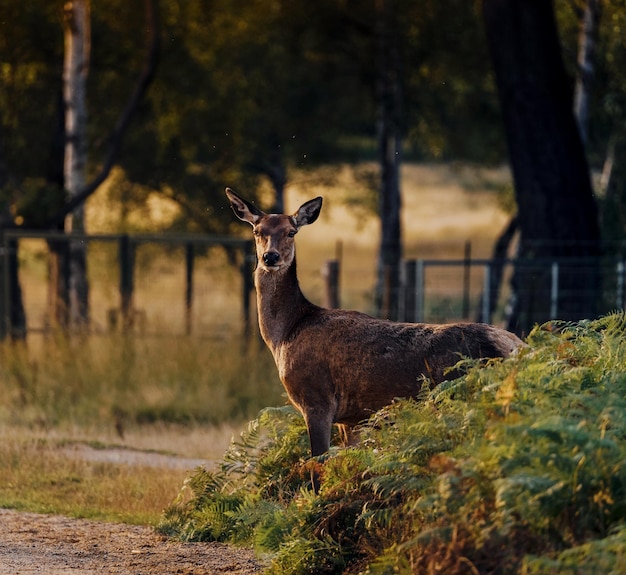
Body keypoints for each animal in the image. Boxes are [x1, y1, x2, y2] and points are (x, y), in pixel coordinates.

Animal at [224, 189, 520, 490]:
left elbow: (317, 467)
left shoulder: (316, 398)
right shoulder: (351, 419)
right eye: (258, 231)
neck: (286, 334)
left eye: (291, 232)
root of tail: (517, 346)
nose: (270, 257)